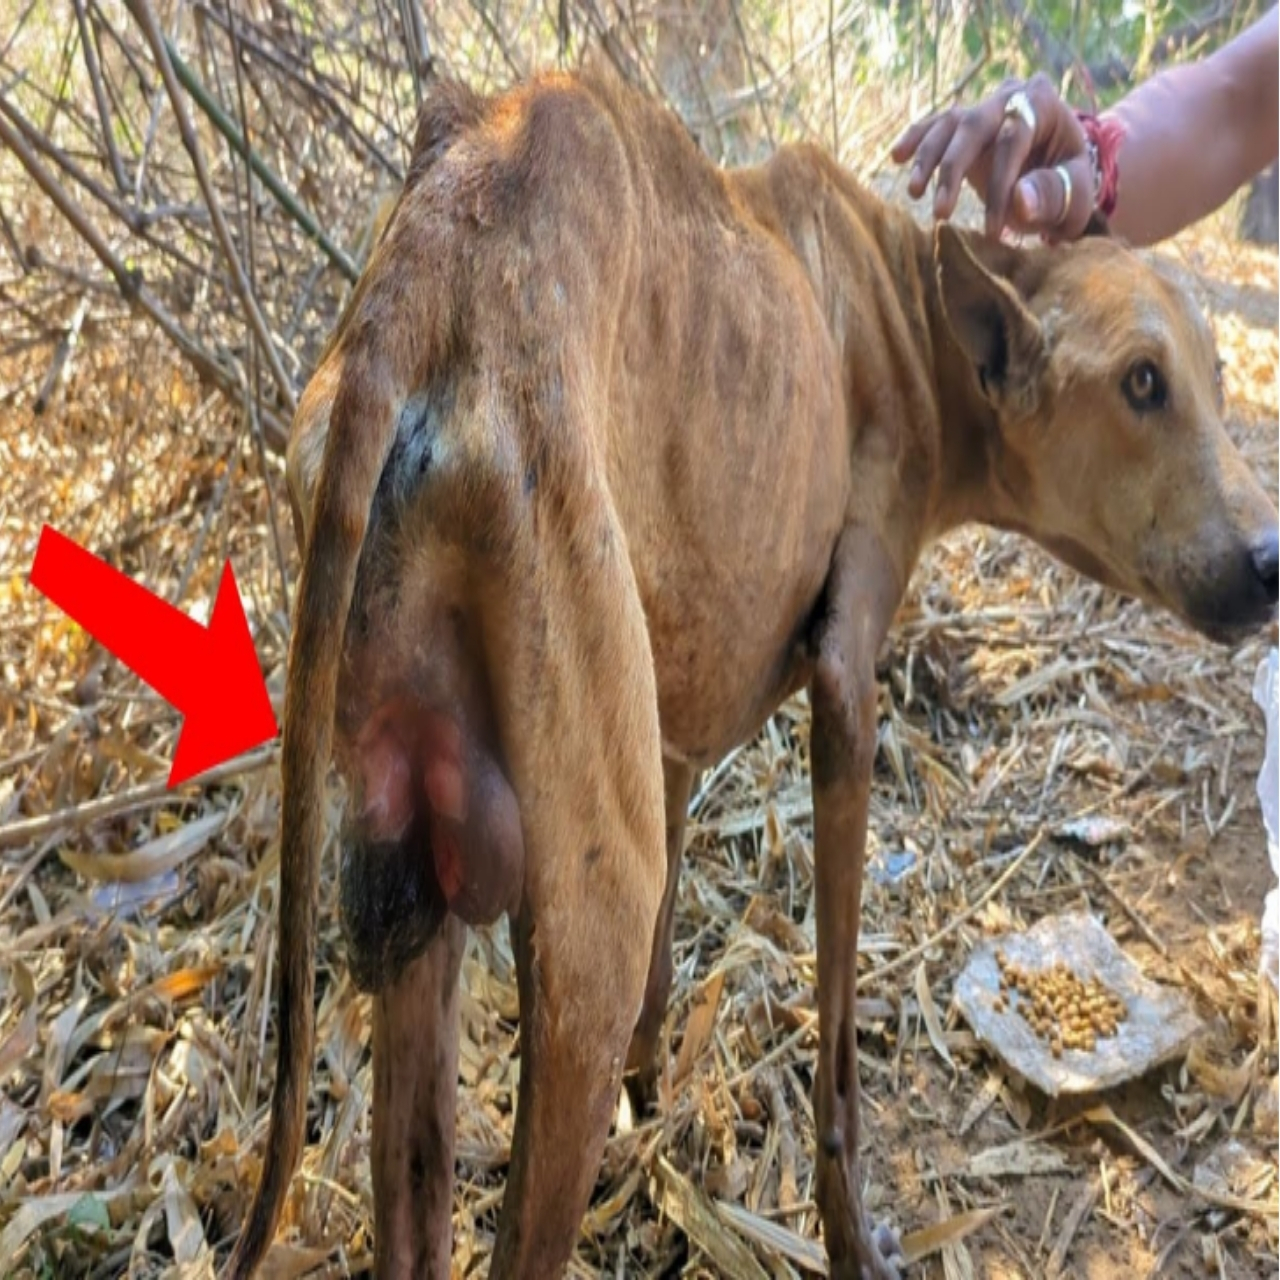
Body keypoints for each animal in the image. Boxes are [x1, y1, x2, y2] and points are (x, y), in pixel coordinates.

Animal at [224, 70, 1279, 1280]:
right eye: (1141, 384)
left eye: (1210, 378)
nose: (1271, 563)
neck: (910, 306)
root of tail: (426, 277)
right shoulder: (846, 693)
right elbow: (836, 1054)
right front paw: (848, 1233)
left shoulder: (674, 749)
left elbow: (662, 980)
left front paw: (656, 1108)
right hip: (583, 937)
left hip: (416, 911)